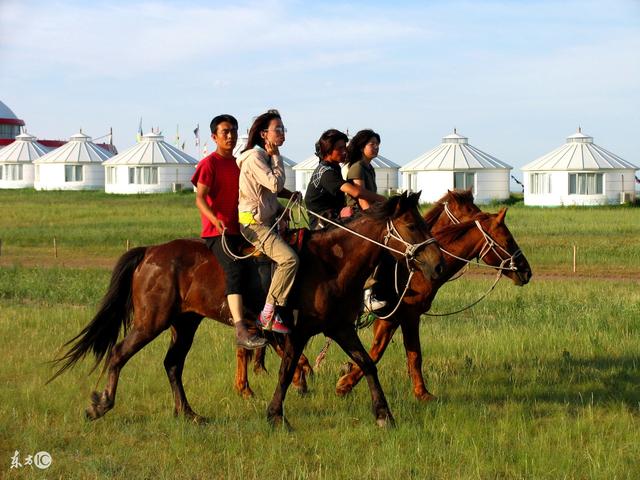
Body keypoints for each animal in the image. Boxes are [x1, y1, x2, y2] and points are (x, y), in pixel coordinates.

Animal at [51, 192, 444, 428]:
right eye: (412, 225)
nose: (438, 265)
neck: (332, 262)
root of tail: (150, 253)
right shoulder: (296, 333)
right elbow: (287, 372)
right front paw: (276, 416)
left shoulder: (339, 328)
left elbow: (367, 364)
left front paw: (384, 415)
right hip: (152, 321)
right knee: (119, 353)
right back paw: (101, 404)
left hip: (185, 323)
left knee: (173, 364)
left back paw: (188, 414)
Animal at [336, 189, 528, 400]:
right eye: (508, 240)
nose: (527, 271)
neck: (414, 272)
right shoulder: (403, 316)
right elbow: (400, 354)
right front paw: (422, 393)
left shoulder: (393, 318)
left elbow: (380, 353)